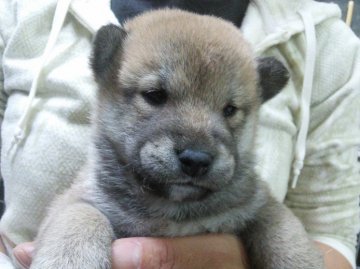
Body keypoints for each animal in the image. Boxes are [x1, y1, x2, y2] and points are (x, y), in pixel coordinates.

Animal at [30, 8, 324, 268]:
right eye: (155, 95)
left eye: (230, 109)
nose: (196, 160)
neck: (174, 209)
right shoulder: (76, 201)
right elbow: (81, 218)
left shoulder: (260, 206)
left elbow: (284, 233)